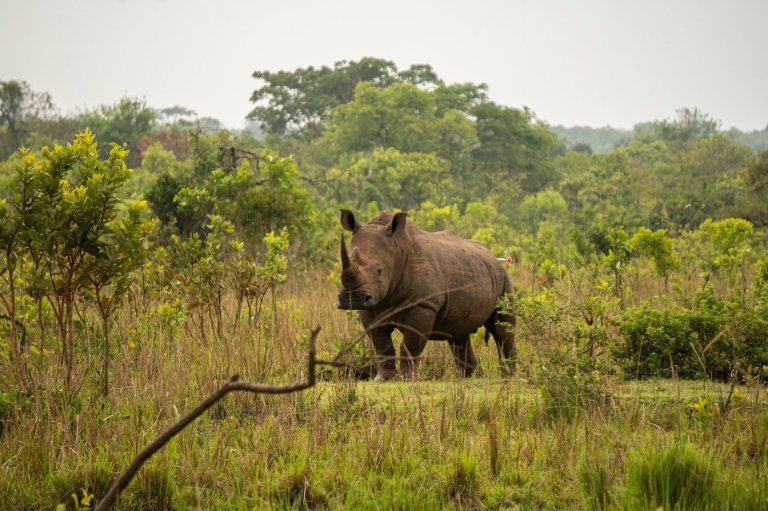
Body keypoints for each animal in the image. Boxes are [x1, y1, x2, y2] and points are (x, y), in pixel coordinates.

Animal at [337, 209, 516, 380]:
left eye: (379, 270)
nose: (353, 299)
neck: (397, 250)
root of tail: (494, 257)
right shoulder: (372, 306)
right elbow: (382, 344)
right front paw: (383, 378)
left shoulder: (423, 305)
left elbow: (410, 343)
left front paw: (405, 378)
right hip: (473, 269)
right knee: (459, 334)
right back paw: (463, 378)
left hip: (504, 280)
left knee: (502, 330)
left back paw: (509, 375)